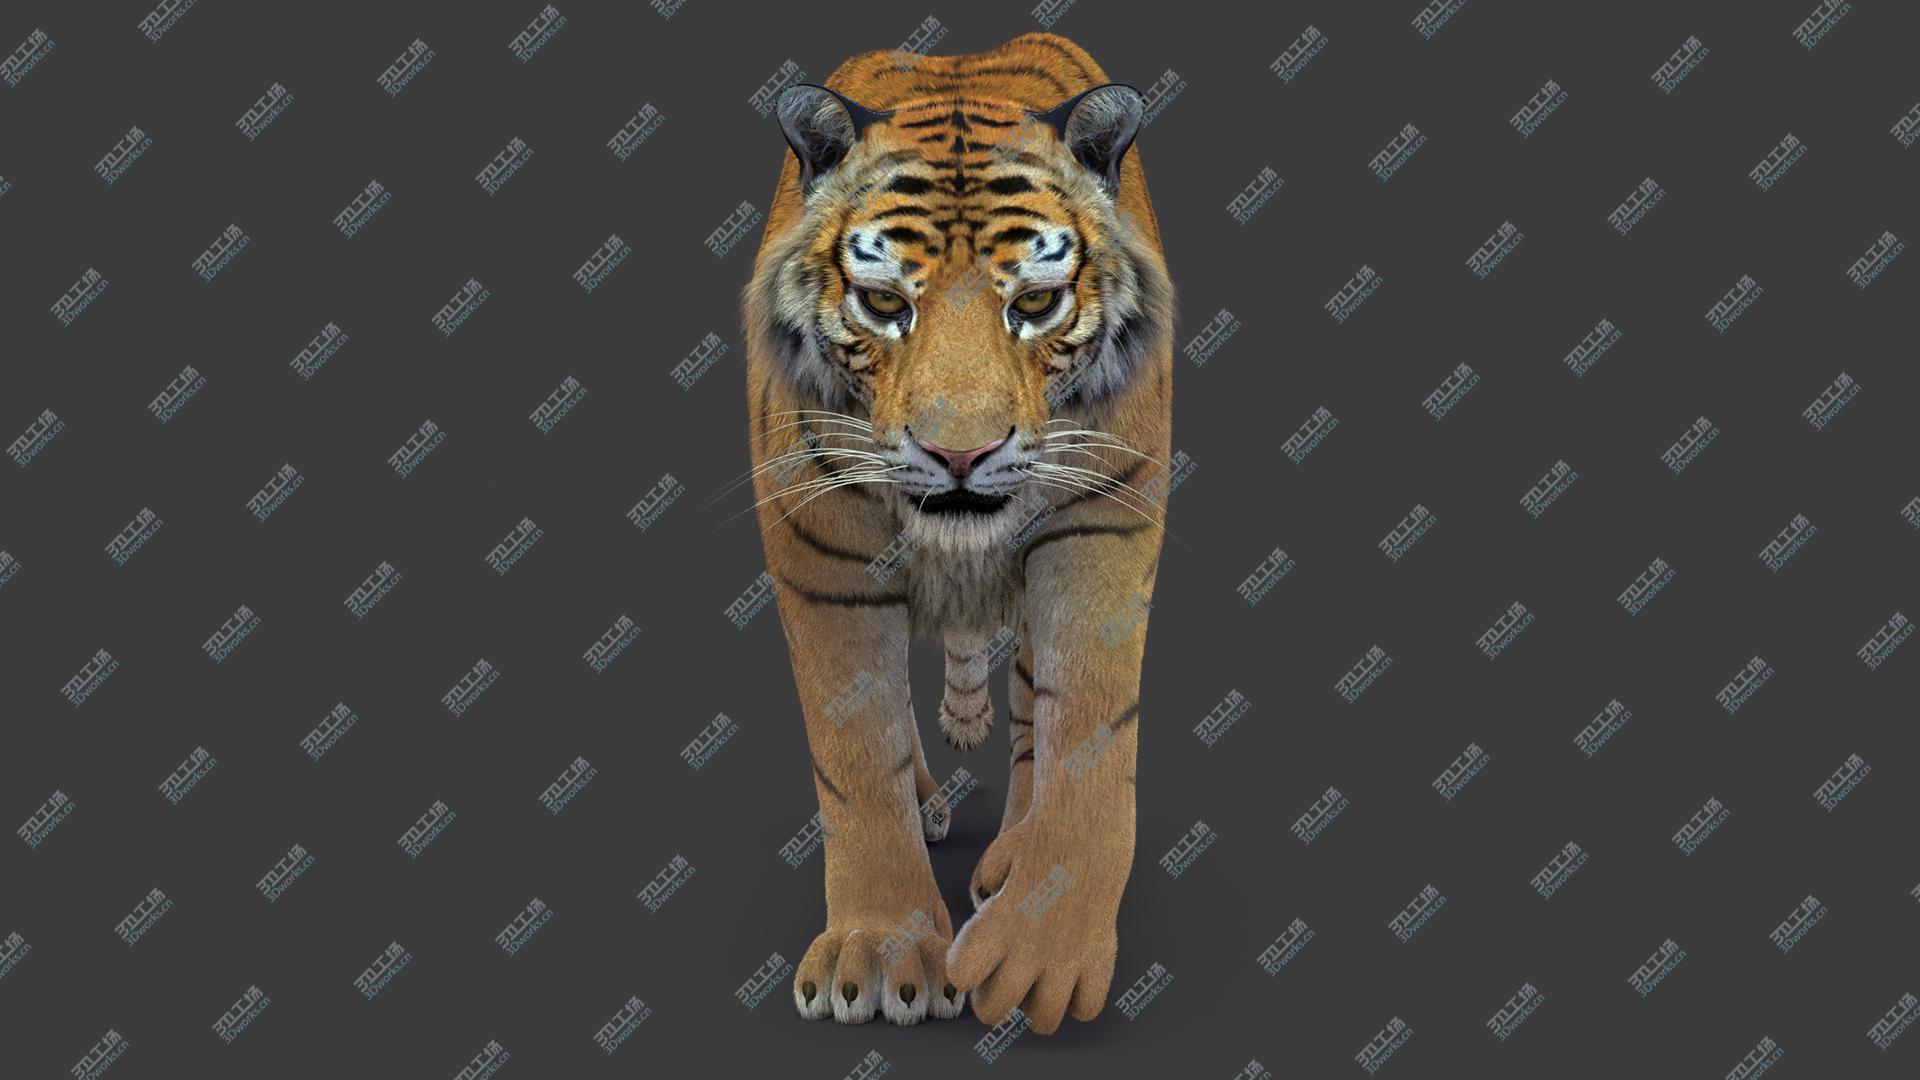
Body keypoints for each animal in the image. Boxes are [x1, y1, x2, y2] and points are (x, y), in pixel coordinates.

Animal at [738, 32, 1175, 1034]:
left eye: (1038, 304)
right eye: (883, 302)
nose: (961, 453)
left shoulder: (1103, 512)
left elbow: (1088, 728)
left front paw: (1042, 947)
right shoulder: (822, 546)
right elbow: (858, 757)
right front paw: (878, 953)